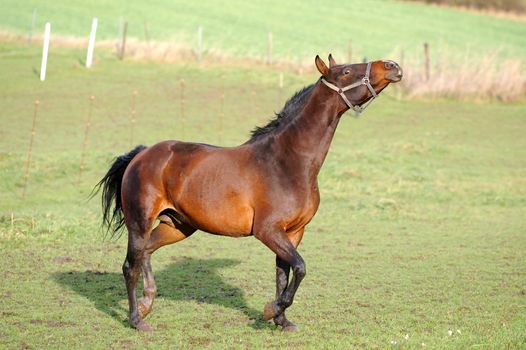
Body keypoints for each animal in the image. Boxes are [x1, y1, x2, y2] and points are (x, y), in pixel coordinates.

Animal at [95, 54, 404, 330]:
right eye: (346, 72)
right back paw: (136, 320)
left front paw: (282, 321)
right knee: (129, 266)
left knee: (146, 253)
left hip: (177, 226)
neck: (286, 161)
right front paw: (271, 311)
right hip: (140, 222)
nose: (392, 66)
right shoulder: (268, 231)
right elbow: (300, 268)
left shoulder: (293, 232)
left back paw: (147, 303)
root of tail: (141, 154)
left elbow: (284, 274)